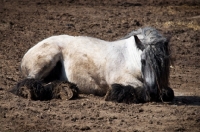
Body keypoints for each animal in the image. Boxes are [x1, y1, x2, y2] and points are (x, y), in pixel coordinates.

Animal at [13, 27, 174, 103]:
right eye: (143, 61)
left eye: (161, 63)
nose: (153, 90)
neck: (129, 56)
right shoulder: (121, 78)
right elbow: (140, 88)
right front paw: (116, 93)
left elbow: (169, 92)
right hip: (46, 60)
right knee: (29, 82)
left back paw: (66, 89)